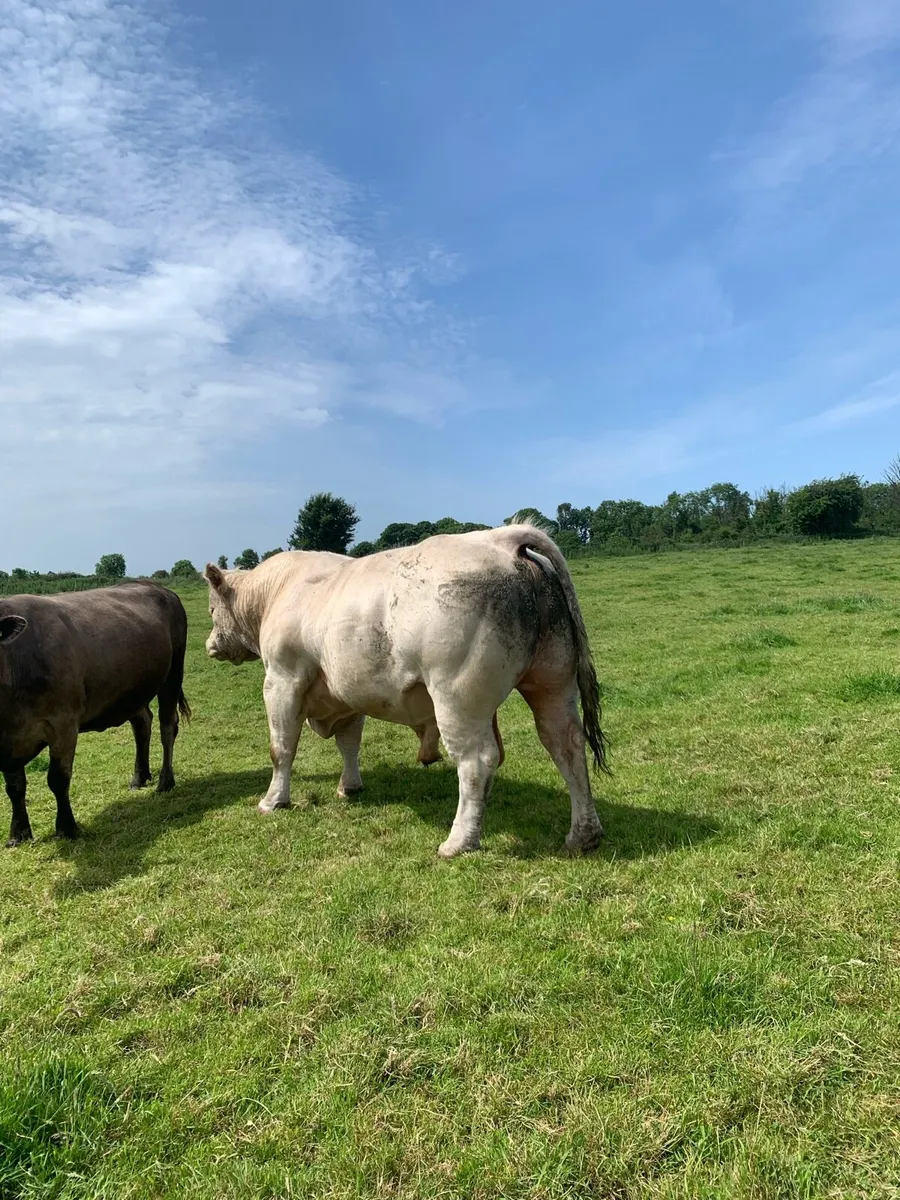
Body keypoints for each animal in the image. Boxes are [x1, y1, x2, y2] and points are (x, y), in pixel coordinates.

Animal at [0, 583, 191, 847]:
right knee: (143, 723)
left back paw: (165, 781)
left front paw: (66, 827)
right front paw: (18, 834)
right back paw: (139, 777)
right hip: (131, 691)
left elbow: (58, 779)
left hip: (172, 675)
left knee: (167, 728)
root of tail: (159, 588)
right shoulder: (9, 740)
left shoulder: (63, 725)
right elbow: (14, 787)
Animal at [203, 524, 607, 858]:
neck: (278, 591)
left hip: (457, 698)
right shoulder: (347, 693)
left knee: (477, 761)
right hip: (553, 684)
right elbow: (349, 743)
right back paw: (583, 835)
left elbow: (281, 749)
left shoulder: (281, 680)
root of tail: (499, 539)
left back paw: (459, 841)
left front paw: (273, 800)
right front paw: (349, 786)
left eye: (210, 609)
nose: (209, 645)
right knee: (567, 745)